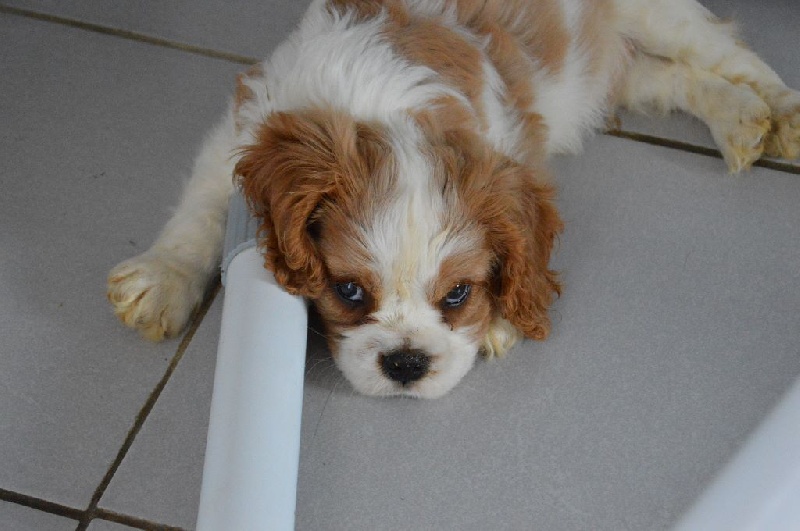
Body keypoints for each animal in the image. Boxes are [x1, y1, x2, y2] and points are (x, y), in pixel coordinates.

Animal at [108, 0, 800, 398]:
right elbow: (204, 202)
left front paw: (499, 321)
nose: (407, 362)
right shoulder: (247, 123)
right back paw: (739, 119)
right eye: (349, 292)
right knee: (671, 77)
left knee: (728, 53)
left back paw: (782, 113)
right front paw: (162, 279)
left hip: (656, 15)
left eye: (459, 294)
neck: (375, 108)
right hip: (610, 69)